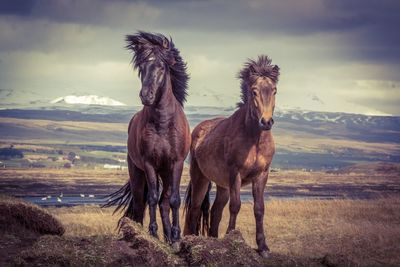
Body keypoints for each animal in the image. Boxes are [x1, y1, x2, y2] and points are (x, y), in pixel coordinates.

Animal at [105, 31, 191, 247]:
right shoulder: (149, 163)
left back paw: (170, 238)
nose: (146, 96)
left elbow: (174, 200)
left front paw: (176, 236)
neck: (163, 122)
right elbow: (151, 198)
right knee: (139, 204)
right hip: (137, 173)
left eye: (161, 67)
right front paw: (152, 233)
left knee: (165, 202)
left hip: (166, 172)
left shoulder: (176, 163)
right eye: (142, 68)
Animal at [184, 55, 280, 258]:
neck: (254, 138)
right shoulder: (235, 173)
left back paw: (214, 240)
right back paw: (190, 239)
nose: (266, 122)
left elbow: (259, 209)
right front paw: (232, 238)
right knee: (195, 209)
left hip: (222, 186)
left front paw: (263, 247)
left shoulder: (262, 175)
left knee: (215, 211)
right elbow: (235, 206)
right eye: (254, 91)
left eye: (274, 91)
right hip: (200, 178)